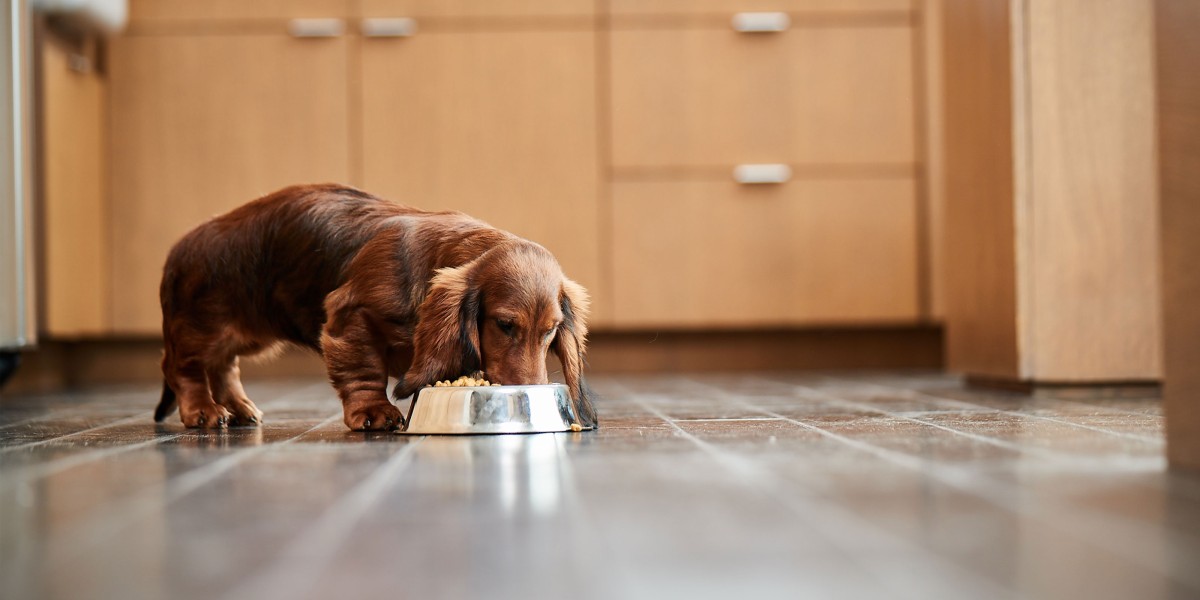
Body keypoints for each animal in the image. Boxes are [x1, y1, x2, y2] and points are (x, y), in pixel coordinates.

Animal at [154, 183, 595, 432]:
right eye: (504, 325)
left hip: (250, 334)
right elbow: (364, 370)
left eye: (550, 330)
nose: (532, 390)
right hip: (204, 328)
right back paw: (203, 410)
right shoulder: (349, 318)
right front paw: (373, 412)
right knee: (182, 367)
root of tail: (179, 249)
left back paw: (238, 407)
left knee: (223, 365)